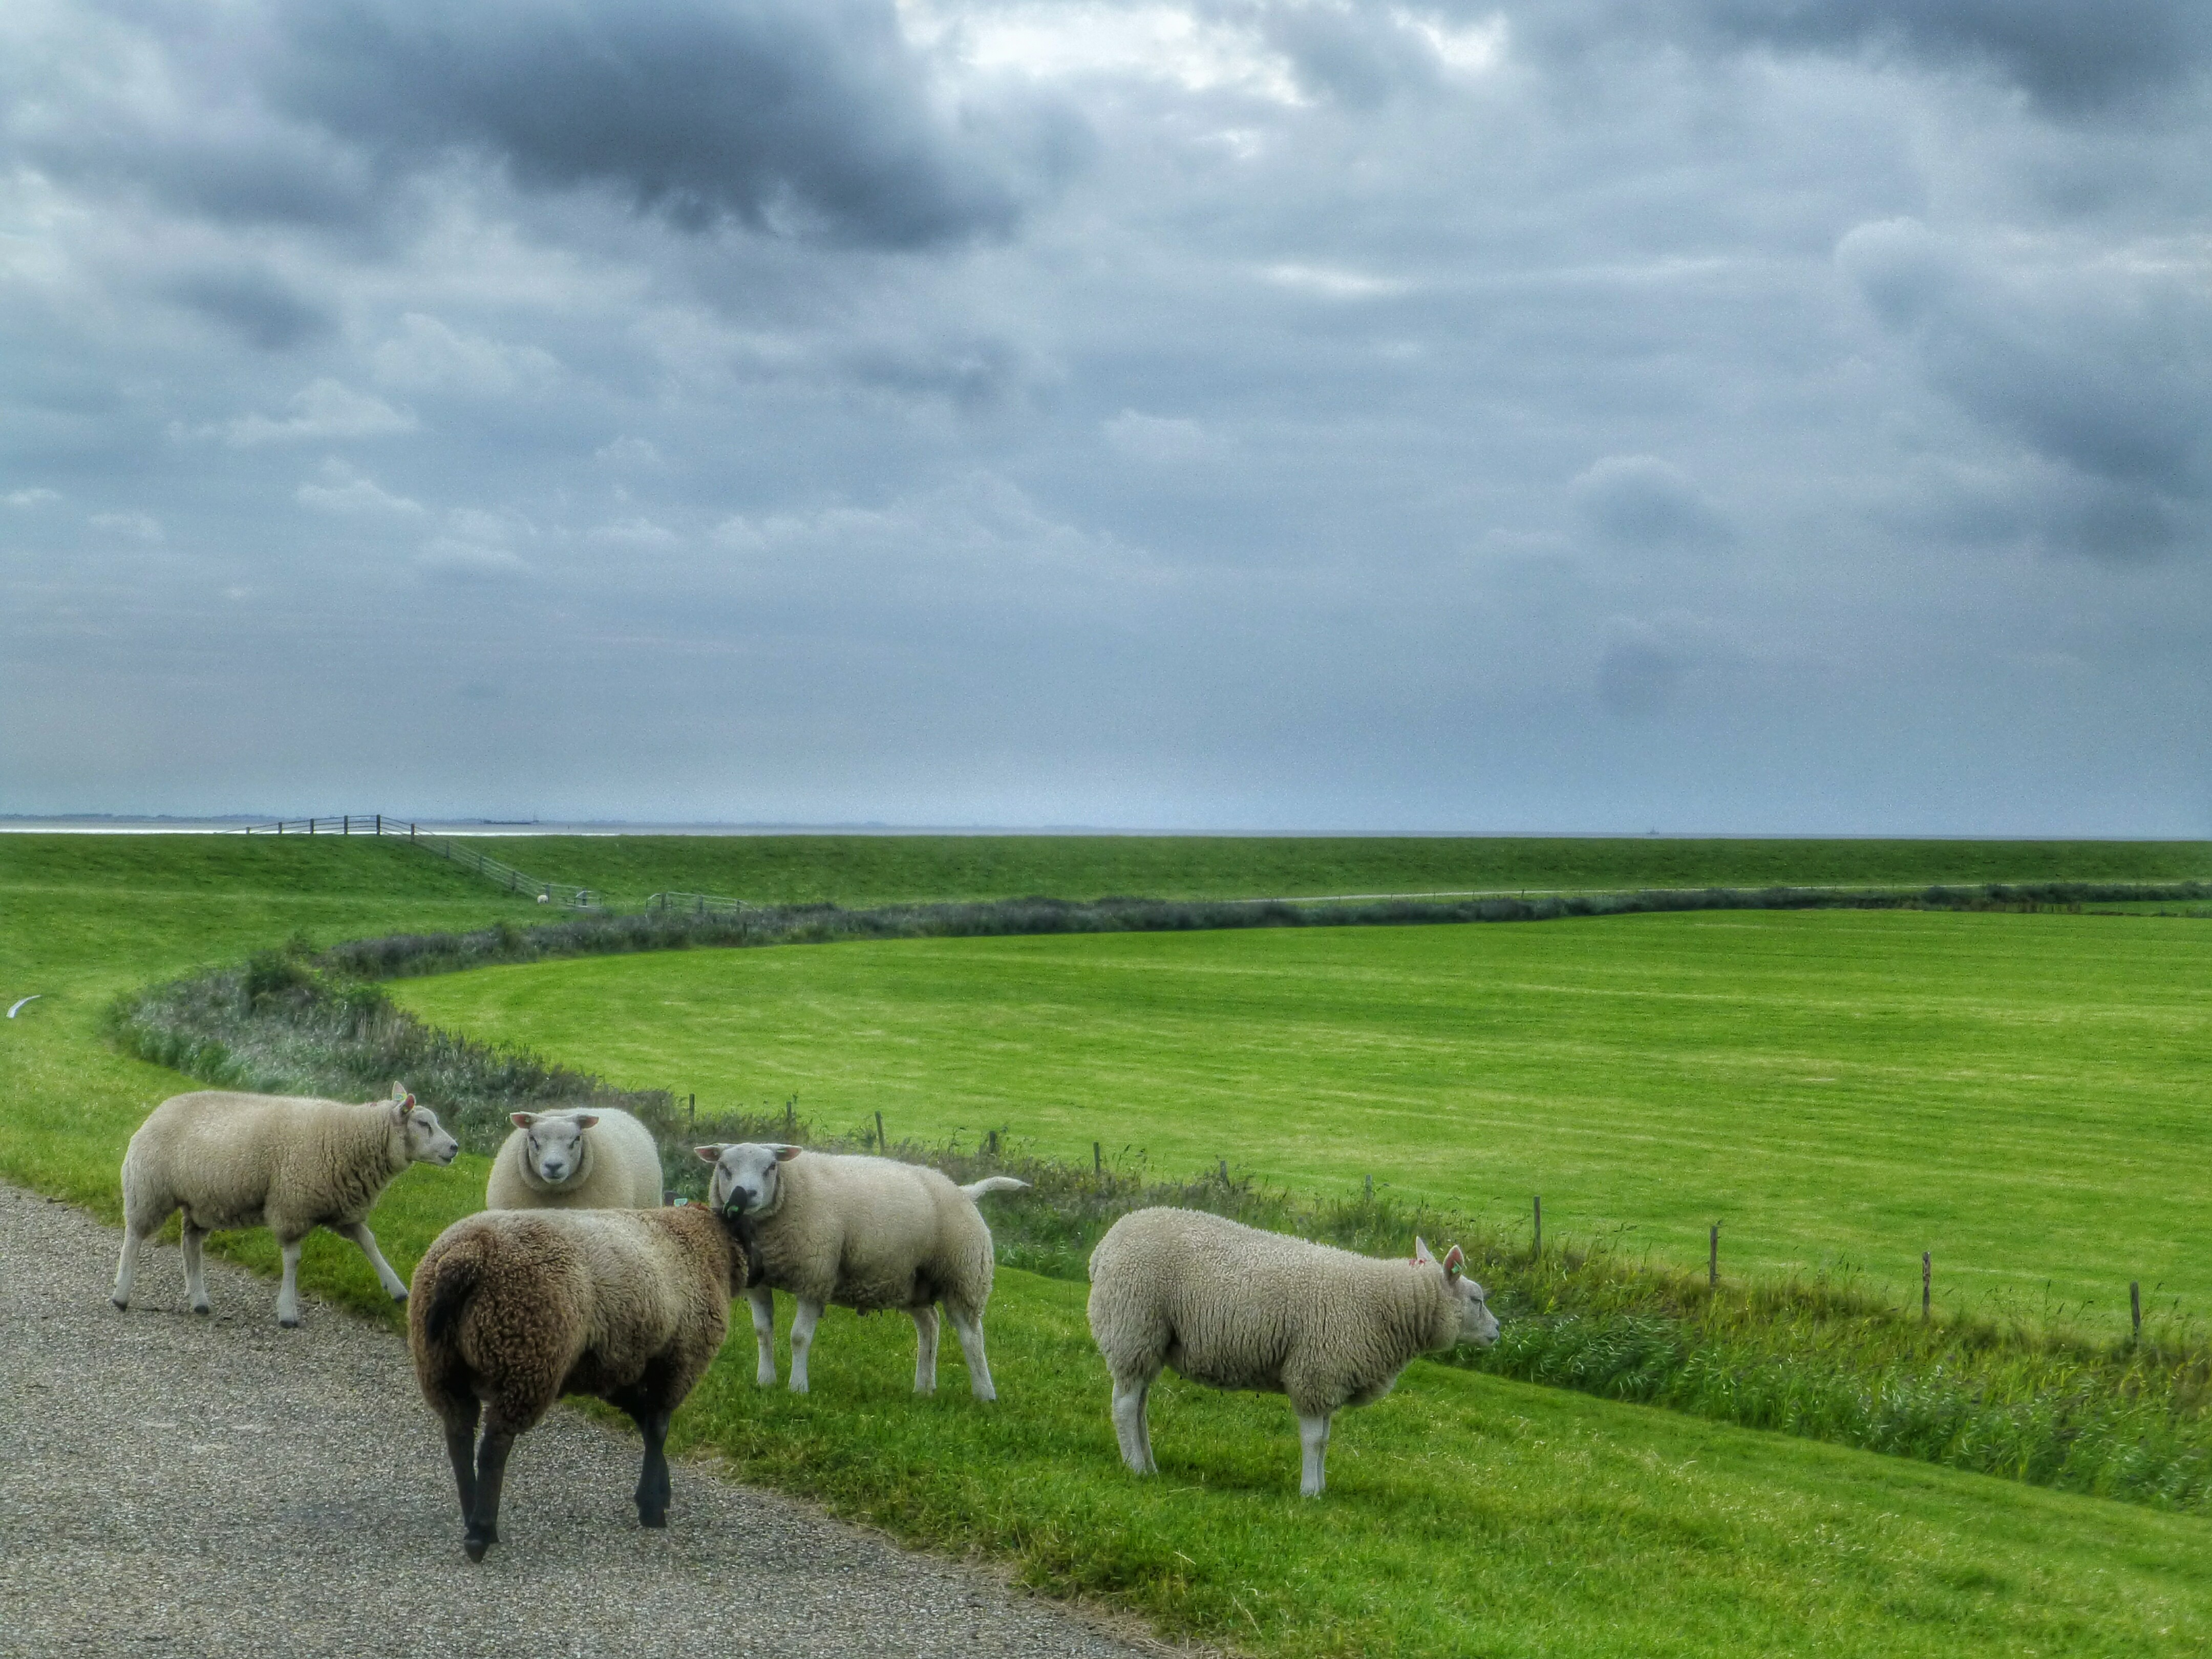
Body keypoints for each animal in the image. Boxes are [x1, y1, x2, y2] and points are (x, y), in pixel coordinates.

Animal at [114, 1083, 460, 1336]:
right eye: (424, 1123)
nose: (455, 1148)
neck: (355, 1136)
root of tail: (160, 1109)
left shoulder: (341, 1210)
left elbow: (369, 1242)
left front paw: (397, 1288)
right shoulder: (292, 1208)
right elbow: (293, 1260)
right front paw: (288, 1312)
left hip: (203, 1201)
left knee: (190, 1243)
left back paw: (199, 1300)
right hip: (149, 1188)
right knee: (134, 1237)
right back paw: (121, 1294)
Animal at [398, 1203, 743, 1566]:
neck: (701, 1240)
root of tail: (469, 1254)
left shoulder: (613, 1365)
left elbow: (644, 1417)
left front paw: (656, 1494)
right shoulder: (681, 1361)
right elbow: (658, 1427)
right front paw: (652, 1509)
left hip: (441, 1367)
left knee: (459, 1440)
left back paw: (471, 1515)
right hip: (526, 1356)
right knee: (494, 1447)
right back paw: (481, 1532)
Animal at [694, 1150, 1031, 1407]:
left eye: (771, 1167)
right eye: (724, 1167)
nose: (744, 1195)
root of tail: (964, 1191)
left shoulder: (816, 1277)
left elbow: (799, 1337)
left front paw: (797, 1388)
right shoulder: (759, 1283)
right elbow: (763, 1332)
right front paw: (765, 1381)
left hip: (964, 1276)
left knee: (971, 1336)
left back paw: (985, 1395)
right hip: (911, 1282)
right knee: (930, 1326)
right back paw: (924, 1388)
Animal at [1079, 1212, 1495, 1504]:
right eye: (1477, 1299)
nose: (1498, 1331)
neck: (1385, 1305)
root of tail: (1104, 1246)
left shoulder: (1329, 1379)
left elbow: (1325, 1440)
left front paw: (1321, 1488)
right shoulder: (1316, 1372)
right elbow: (1313, 1440)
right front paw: (1310, 1493)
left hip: (1149, 1343)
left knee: (1138, 1406)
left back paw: (1150, 1466)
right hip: (1132, 1325)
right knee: (1124, 1406)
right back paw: (1135, 1468)